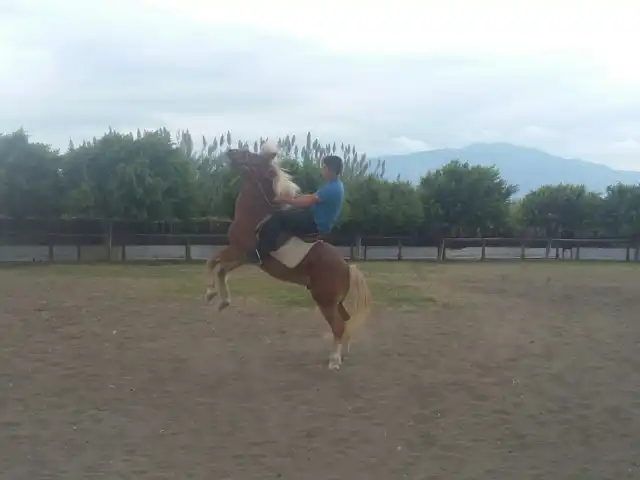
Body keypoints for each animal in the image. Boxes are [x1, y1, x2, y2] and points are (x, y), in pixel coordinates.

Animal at [202, 144, 372, 370]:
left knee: (338, 326)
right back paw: (344, 353)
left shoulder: (238, 250)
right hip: (336, 301)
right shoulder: (243, 256)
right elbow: (221, 269)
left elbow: (212, 262)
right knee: (345, 321)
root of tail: (347, 267)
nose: (231, 151)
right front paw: (222, 301)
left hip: (324, 301)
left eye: (254, 158)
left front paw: (210, 293)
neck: (256, 216)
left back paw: (334, 361)